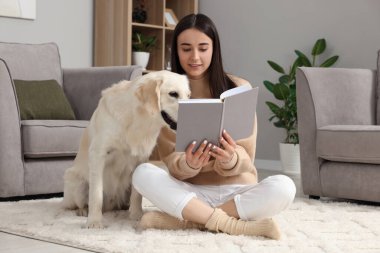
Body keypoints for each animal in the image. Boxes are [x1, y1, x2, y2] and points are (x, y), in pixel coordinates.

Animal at [62, 70, 191, 228]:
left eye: (188, 95)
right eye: (173, 94)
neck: (139, 120)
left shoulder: (141, 158)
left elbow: (137, 194)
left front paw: (136, 215)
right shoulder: (98, 154)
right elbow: (96, 194)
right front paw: (94, 221)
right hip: (75, 181)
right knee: (76, 203)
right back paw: (83, 210)